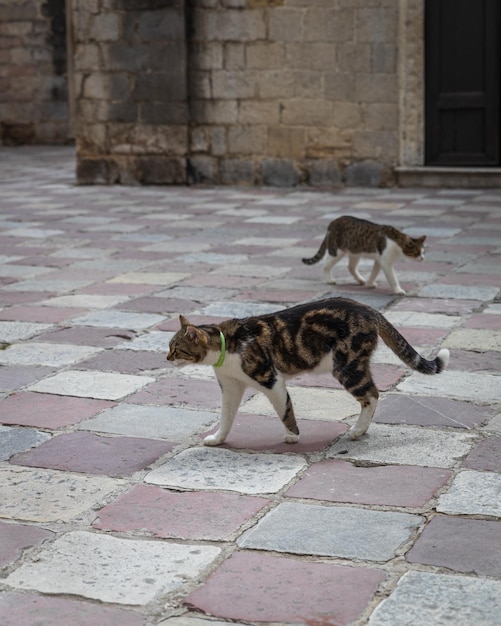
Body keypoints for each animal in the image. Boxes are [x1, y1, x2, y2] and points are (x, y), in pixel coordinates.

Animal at [166, 298, 448, 444]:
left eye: (176, 349)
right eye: (169, 346)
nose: (166, 357)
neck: (227, 344)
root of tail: (368, 308)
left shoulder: (271, 379)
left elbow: (285, 409)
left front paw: (292, 435)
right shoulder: (231, 386)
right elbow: (226, 416)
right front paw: (218, 439)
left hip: (346, 365)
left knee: (372, 395)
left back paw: (358, 430)